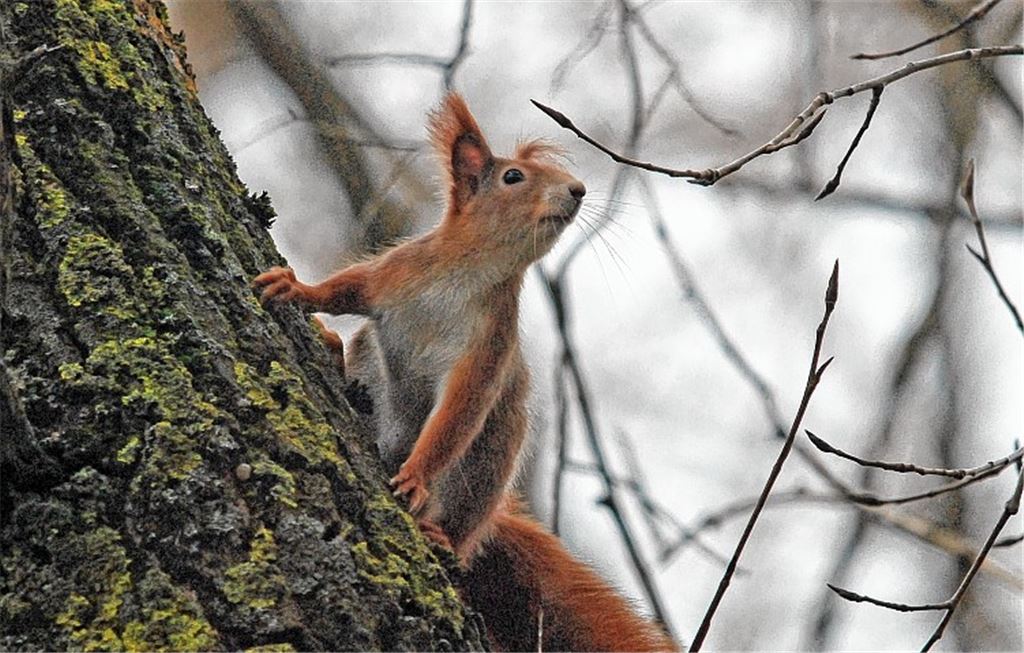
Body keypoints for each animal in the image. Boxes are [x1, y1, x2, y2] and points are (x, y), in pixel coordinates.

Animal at [254, 93, 677, 652]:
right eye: (514, 176)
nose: (578, 190)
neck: (472, 270)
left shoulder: (489, 348)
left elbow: (458, 414)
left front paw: (416, 474)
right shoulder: (397, 271)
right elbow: (348, 286)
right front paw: (297, 289)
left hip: (484, 472)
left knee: (465, 519)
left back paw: (443, 535)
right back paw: (333, 351)